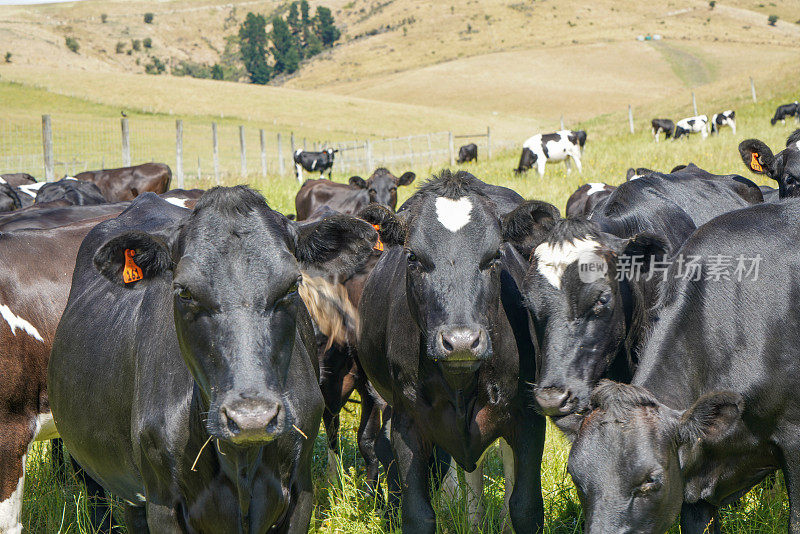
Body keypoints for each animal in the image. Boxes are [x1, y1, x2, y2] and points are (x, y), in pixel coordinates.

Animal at [47, 189, 378, 534]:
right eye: (184, 292)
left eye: (291, 286)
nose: (251, 418)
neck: (240, 461)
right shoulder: (162, 504)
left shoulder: (301, 492)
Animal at [360, 173, 548, 534]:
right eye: (412, 258)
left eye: (495, 257)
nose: (461, 341)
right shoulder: (408, 422)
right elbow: (418, 513)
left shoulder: (528, 417)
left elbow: (526, 507)